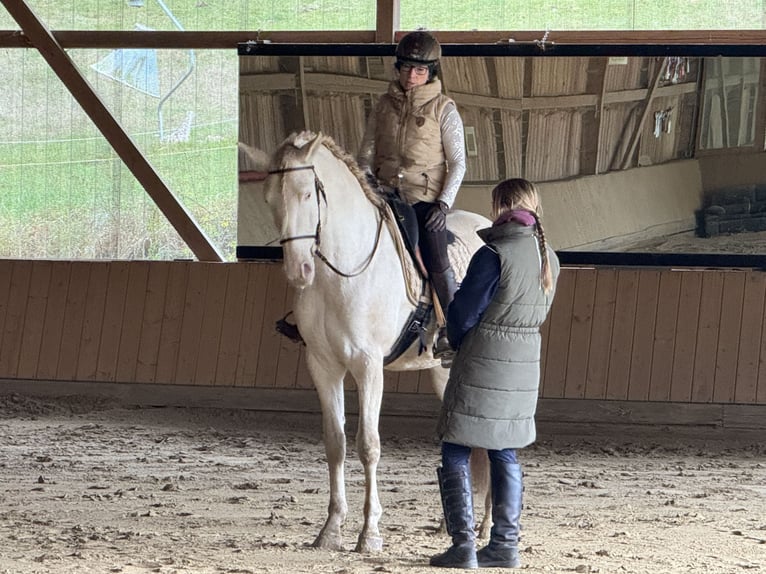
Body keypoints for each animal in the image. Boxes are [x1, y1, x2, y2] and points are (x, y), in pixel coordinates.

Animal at [260, 130, 496, 552]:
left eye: (306, 194)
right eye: (270, 198)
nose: (299, 270)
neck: (341, 271)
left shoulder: (368, 366)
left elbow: (368, 445)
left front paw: (369, 533)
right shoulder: (323, 366)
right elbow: (335, 442)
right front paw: (331, 529)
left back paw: (485, 527)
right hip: (445, 371)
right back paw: (459, 524)